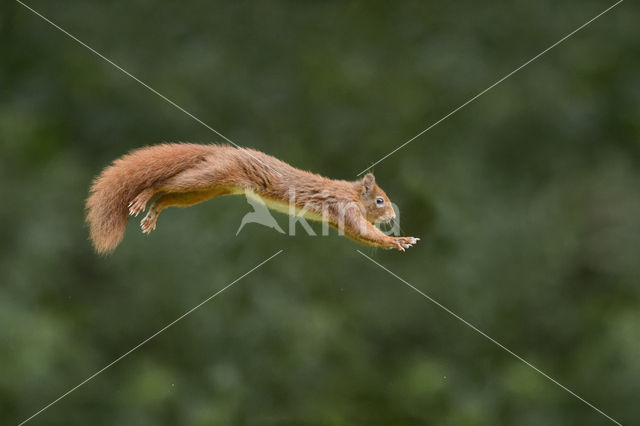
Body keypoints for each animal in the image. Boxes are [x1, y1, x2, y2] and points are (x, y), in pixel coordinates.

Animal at [87, 145, 420, 255]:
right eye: (380, 201)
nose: (392, 217)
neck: (352, 193)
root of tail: (220, 151)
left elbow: (361, 236)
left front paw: (397, 241)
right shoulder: (344, 208)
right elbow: (363, 231)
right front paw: (399, 240)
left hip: (207, 190)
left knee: (169, 196)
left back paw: (154, 210)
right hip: (209, 176)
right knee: (163, 183)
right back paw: (144, 196)